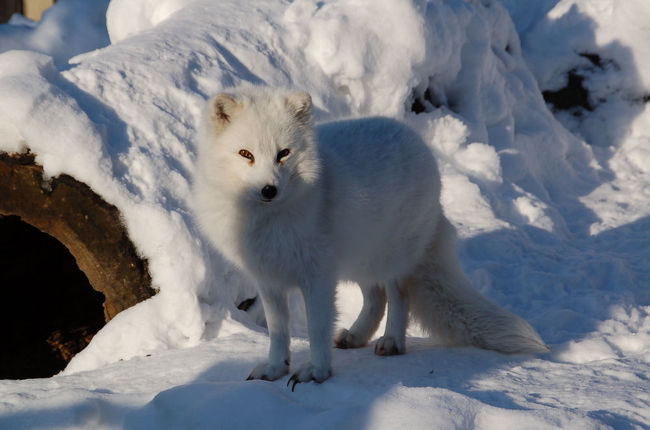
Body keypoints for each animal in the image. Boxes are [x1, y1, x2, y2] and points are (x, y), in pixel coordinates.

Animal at [192, 86, 548, 386]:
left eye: (284, 153)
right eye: (245, 154)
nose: (269, 190)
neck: (267, 221)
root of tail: (418, 142)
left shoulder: (318, 276)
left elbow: (317, 328)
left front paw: (317, 372)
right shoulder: (269, 279)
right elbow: (278, 331)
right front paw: (276, 367)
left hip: (391, 257)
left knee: (398, 295)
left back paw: (391, 342)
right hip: (359, 261)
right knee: (376, 299)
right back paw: (357, 336)